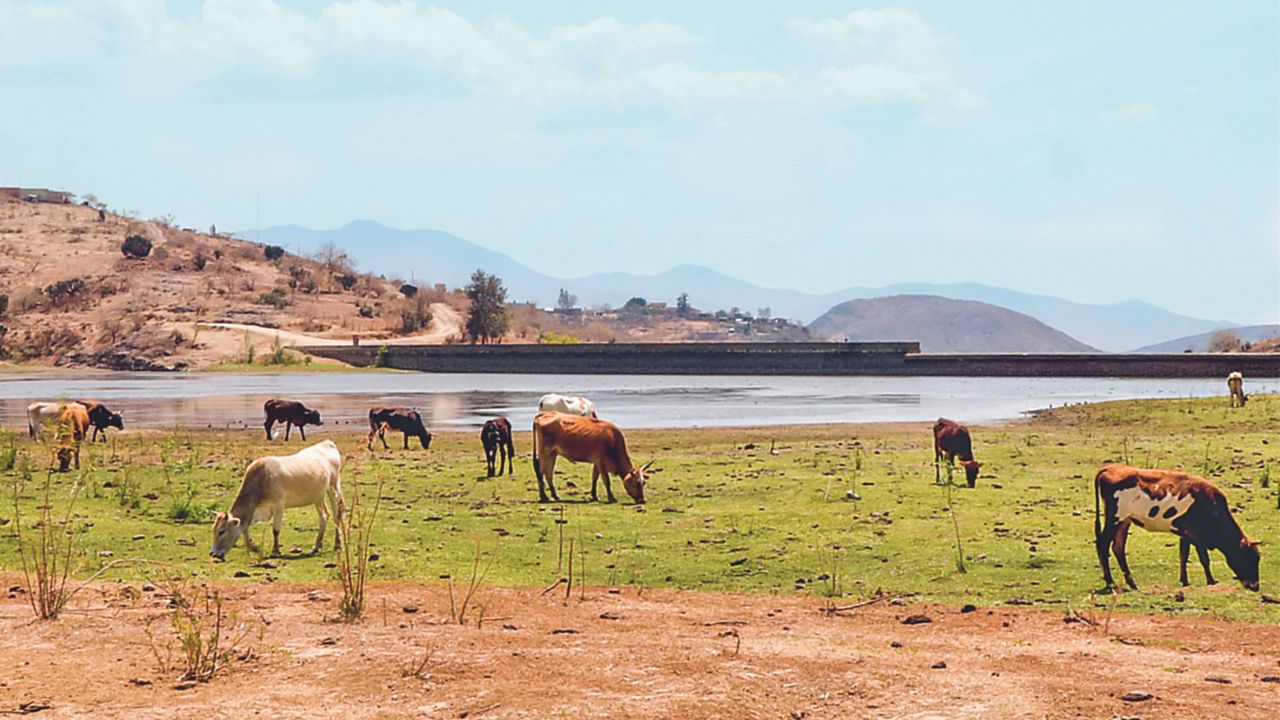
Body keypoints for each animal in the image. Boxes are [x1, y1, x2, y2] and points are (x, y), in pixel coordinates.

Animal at [212, 435, 348, 558]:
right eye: (214, 529)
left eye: (221, 531)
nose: (213, 554)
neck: (261, 479)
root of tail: (326, 443)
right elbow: (245, 529)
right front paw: (254, 548)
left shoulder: (278, 504)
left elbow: (275, 530)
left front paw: (275, 551)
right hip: (318, 496)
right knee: (324, 515)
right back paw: (316, 546)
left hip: (334, 487)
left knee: (337, 515)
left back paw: (337, 545)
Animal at [1090, 461, 1259, 591]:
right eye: (1249, 557)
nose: (1255, 586)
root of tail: (1110, 468)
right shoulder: (1197, 535)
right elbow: (1204, 559)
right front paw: (1211, 581)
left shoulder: (1186, 533)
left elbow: (1183, 555)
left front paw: (1184, 581)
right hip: (1115, 518)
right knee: (1103, 543)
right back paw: (1110, 582)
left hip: (1125, 520)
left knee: (1118, 547)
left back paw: (1131, 583)